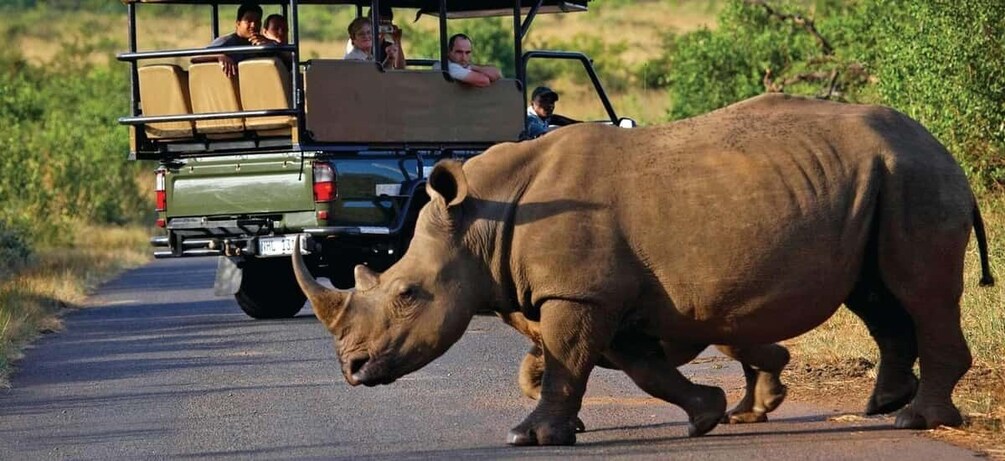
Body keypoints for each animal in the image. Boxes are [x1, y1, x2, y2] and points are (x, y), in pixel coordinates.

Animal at [293, 93, 994, 446]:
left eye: (408, 293)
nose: (353, 370)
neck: (480, 219)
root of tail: (942, 146)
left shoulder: (580, 293)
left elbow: (570, 364)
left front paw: (531, 437)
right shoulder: (603, 294)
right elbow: (638, 367)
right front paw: (706, 413)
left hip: (914, 176)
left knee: (918, 291)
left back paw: (915, 420)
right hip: (885, 179)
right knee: (876, 295)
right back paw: (883, 404)